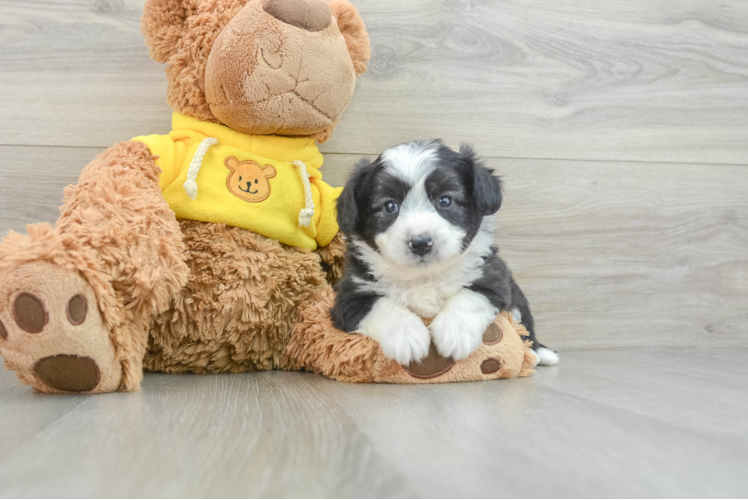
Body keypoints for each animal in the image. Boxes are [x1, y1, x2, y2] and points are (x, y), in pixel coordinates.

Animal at [330, 141, 560, 368]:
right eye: (389, 206)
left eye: (445, 200)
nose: (421, 243)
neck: (424, 276)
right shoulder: (349, 297)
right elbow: (381, 305)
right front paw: (406, 336)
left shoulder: (493, 278)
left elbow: (470, 295)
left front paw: (455, 333)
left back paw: (539, 353)